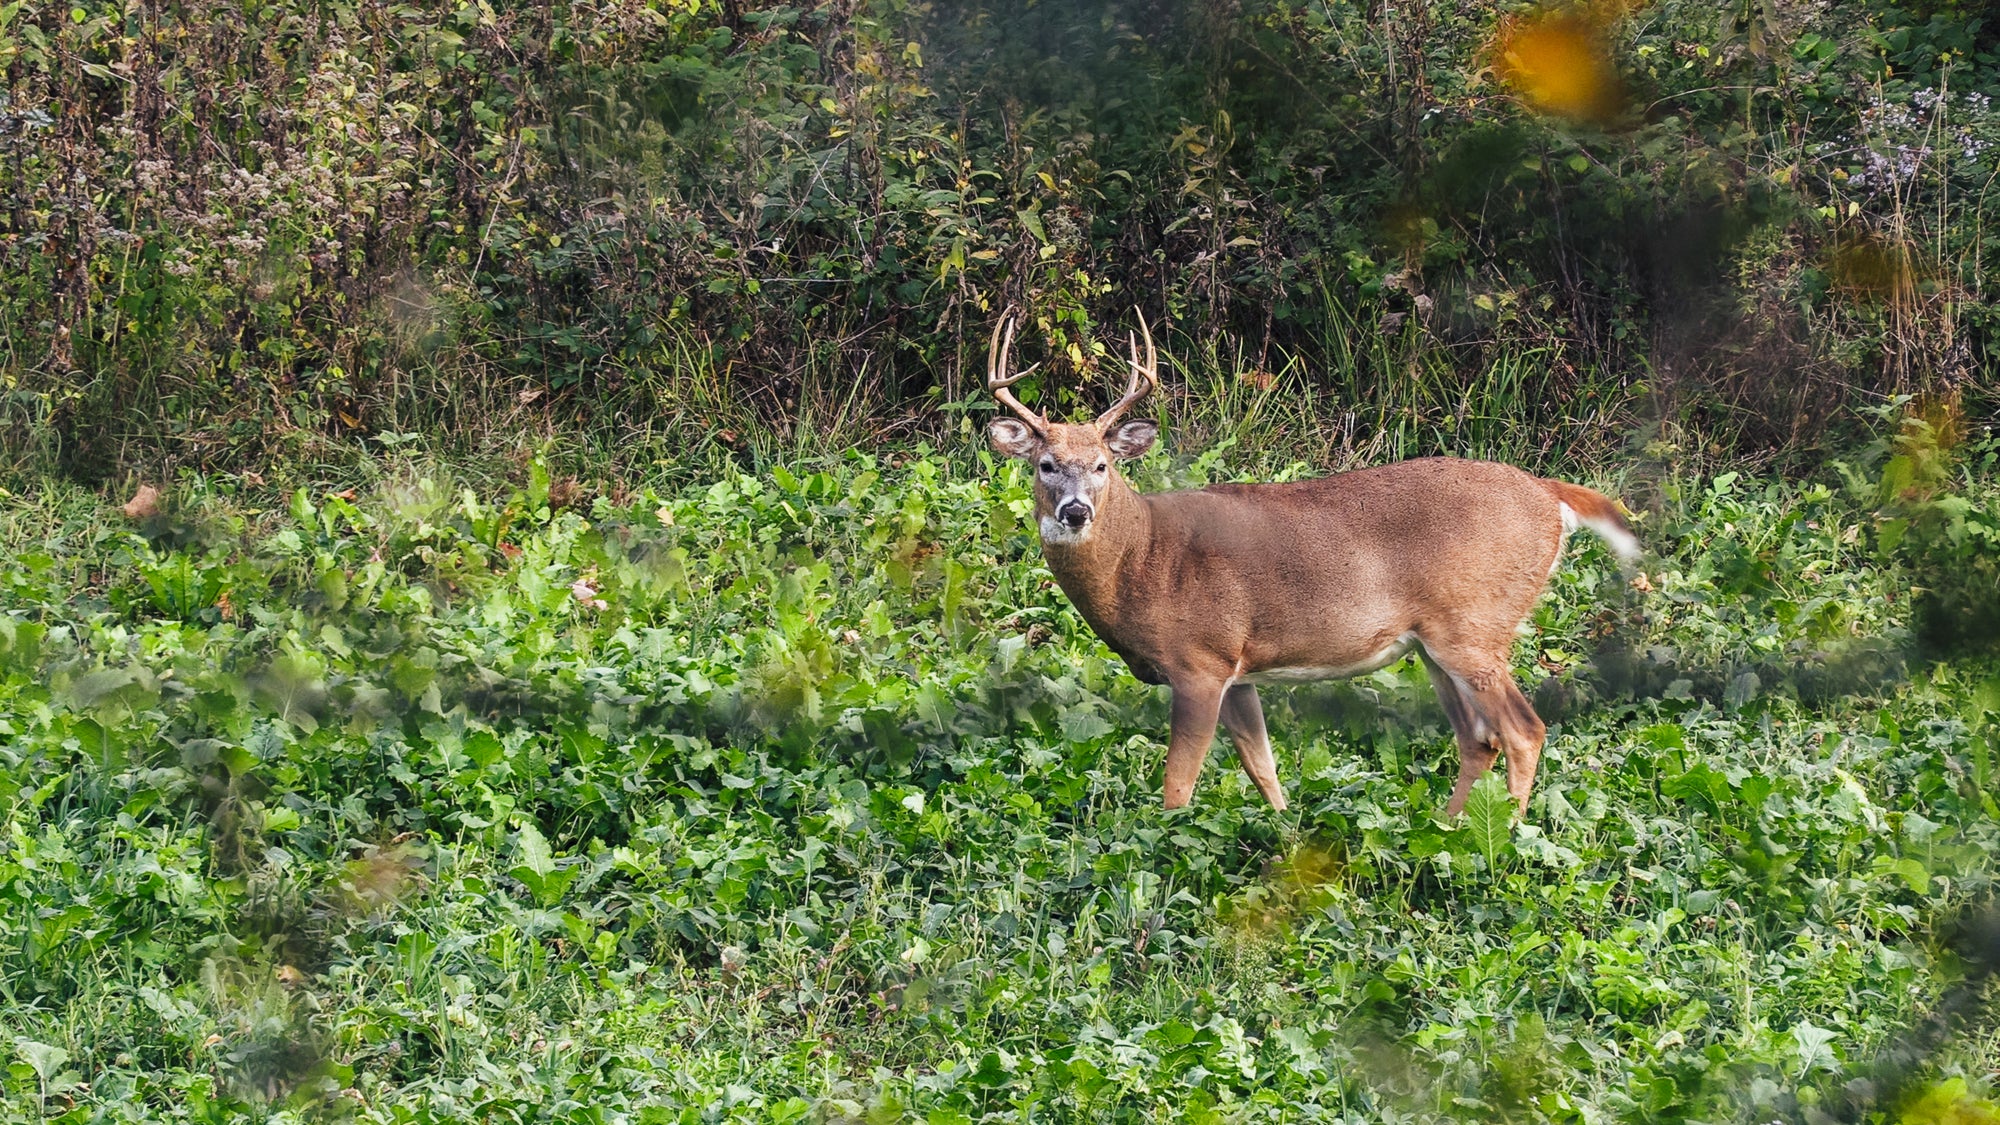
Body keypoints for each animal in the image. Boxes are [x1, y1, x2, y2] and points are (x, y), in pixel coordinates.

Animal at [988, 310, 1640, 808]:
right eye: (1046, 464)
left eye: (1102, 465)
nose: (1075, 511)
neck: (1142, 560)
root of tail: (1551, 495)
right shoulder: (1238, 669)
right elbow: (1263, 768)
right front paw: (1284, 836)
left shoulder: (1200, 659)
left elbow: (1179, 785)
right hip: (1435, 643)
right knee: (1478, 740)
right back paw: (1448, 829)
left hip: (1475, 624)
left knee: (1524, 731)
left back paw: (1504, 839)